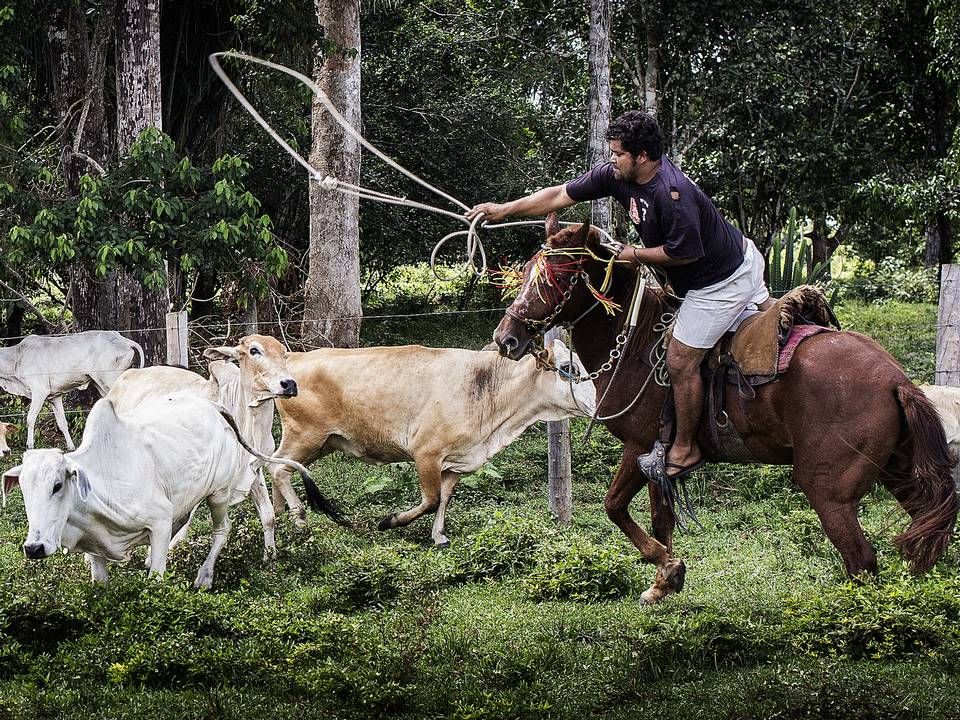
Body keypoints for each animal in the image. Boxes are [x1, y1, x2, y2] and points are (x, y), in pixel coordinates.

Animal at [0, 332, 144, 450]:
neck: (17, 356)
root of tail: (123, 340)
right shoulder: (54, 397)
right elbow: (62, 423)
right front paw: (71, 447)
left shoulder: (39, 391)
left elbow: (30, 419)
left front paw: (29, 445)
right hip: (100, 384)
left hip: (110, 380)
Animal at [0, 394, 342, 592]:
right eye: (24, 491)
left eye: (57, 485)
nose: (34, 547)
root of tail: (213, 406)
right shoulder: (95, 548)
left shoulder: (159, 523)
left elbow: (156, 576)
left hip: (218, 493)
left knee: (223, 530)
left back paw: (205, 577)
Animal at [270, 340, 596, 548]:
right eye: (569, 368)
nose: (597, 403)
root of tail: (295, 357)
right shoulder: (426, 453)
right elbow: (431, 500)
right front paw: (390, 521)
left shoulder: (455, 463)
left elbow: (445, 498)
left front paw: (439, 536)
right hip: (305, 436)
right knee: (278, 469)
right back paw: (299, 520)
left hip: (322, 442)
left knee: (276, 468)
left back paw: (280, 516)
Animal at [496, 217, 960, 604]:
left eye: (558, 277)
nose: (506, 338)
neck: (638, 343)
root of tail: (896, 380)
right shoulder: (658, 460)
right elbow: (661, 520)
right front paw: (664, 581)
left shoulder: (640, 445)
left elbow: (614, 507)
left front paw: (669, 567)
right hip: (899, 472)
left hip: (829, 492)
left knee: (860, 560)